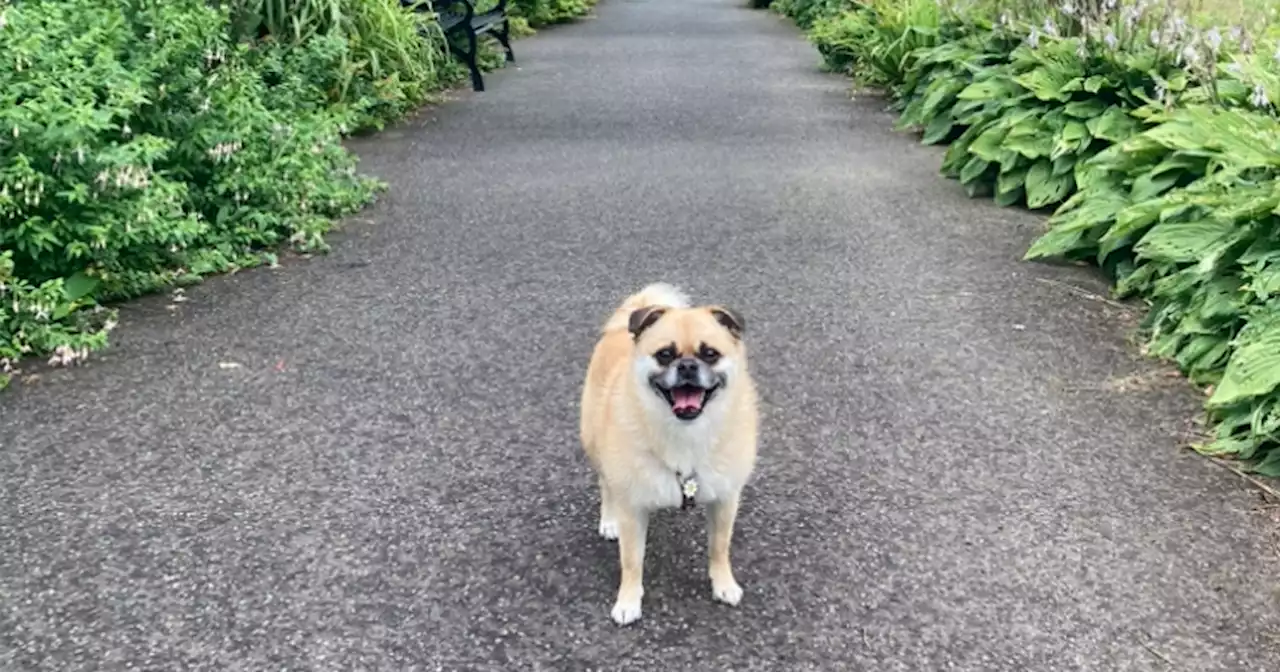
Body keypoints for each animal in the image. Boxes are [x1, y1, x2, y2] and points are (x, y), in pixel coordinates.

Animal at [583, 281, 757, 624]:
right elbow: (631, 560)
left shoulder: (725, 500)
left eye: (710, 354)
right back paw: (608, 520)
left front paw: (723, 584)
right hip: (596, 447)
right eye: (665, 355)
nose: (687, 365)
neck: (685, 432)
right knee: (605, 485)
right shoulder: (632, 507)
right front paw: (628, 601)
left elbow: (720, 547)